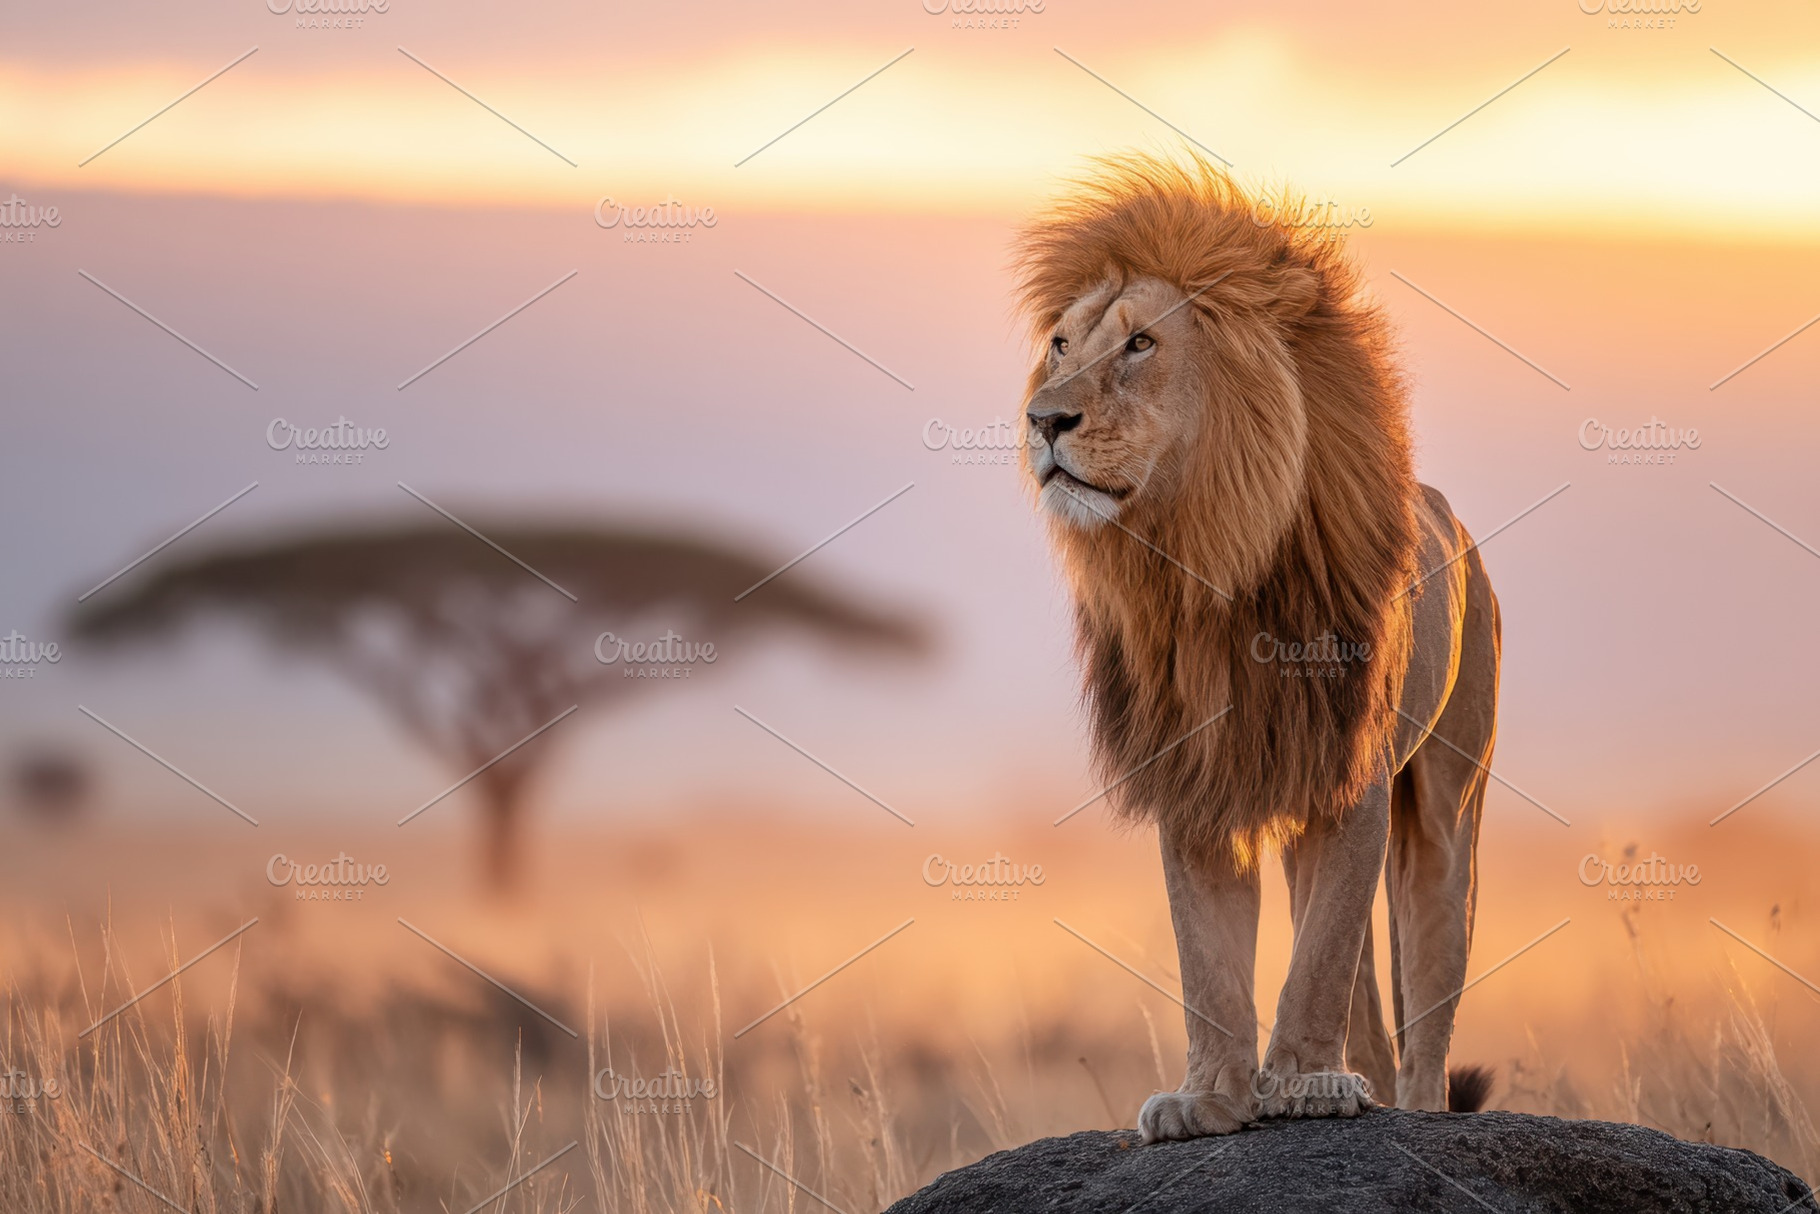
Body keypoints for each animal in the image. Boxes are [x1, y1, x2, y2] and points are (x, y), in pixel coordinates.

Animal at [1013, 154, 1500, 1140]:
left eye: (1140, 345)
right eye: (1060, 345)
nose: (1044, 421)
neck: (1202, 569)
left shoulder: (1350, 768)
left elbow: (1317, 959)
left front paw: (1306, 1086)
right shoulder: (1196, 771)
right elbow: (1209, 958)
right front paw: (1210, 1098)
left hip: (1446, 801)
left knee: (1426, 978)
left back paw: (1412, 1106)